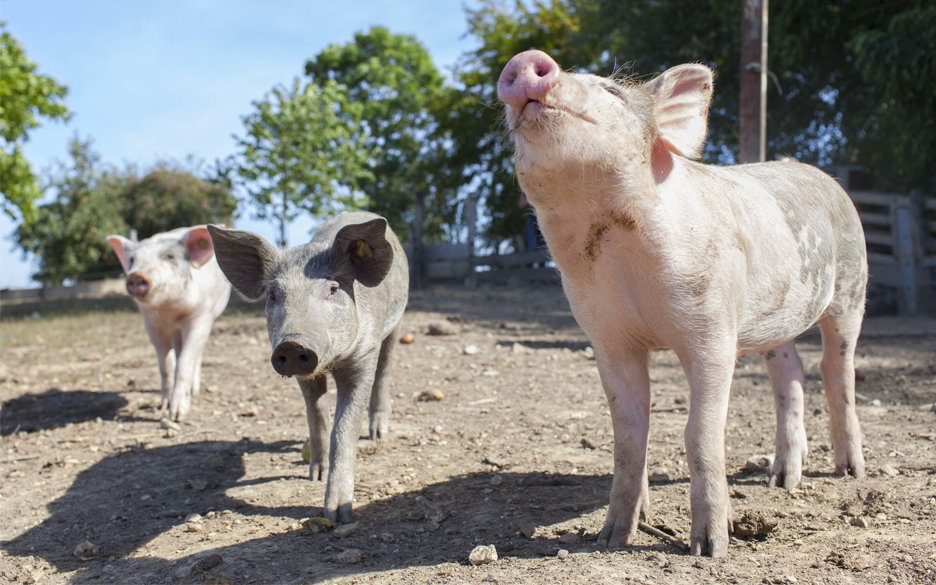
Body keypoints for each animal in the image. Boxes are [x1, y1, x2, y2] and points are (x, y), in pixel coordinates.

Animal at [105, 224, 229, 420]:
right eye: (132, 259)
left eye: (169, 256)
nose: (135, 276)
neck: (171, 310)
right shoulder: (152, 324)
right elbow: (166, 365)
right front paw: (163, 407)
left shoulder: (201, 315)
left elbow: (185, 361)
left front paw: (177, 415)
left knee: (196, 356)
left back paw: (195, 390)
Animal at [500, 51, 868, 556]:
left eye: (612, 92)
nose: (525, 60)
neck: (619, 256)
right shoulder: (606, 336)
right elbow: (628, 435)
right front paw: (612, 537)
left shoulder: (712, 327)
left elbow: (700, 434)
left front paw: (710, 548)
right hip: (775, 317)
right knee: (789, 373)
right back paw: (781, 480)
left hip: (851, 285)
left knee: (836, 369)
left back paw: (849, 471)